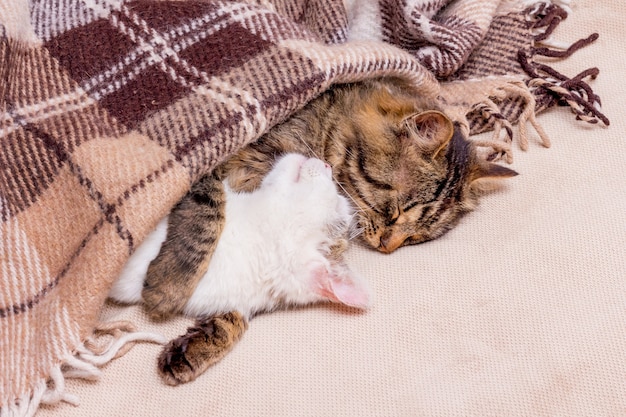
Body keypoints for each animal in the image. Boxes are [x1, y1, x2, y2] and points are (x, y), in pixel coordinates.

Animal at [144, 77, 516, 384]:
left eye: (415, 238)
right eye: (393, 212)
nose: (387, 246)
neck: (321, 130)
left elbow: (243, 293)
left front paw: (198, 344)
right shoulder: (205, 171)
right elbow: (207, 216)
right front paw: (167, 287)